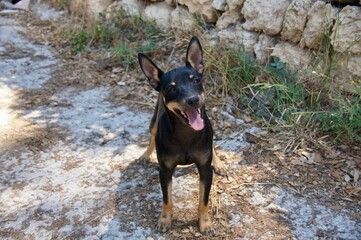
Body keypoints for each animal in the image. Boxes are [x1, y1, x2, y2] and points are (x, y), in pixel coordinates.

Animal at [138, 36, 225, 233]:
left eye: (196, 80)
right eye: (171, 88)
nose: (193, 100)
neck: (186, 133)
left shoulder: (205, 171)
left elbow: (203, 201)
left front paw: (205, 222)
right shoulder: (164, 171)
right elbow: (167, 200)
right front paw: (165, 220)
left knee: (213, 143)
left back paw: (219, 162)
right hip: (154, 122)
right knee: (152, 136)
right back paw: (146, 154)